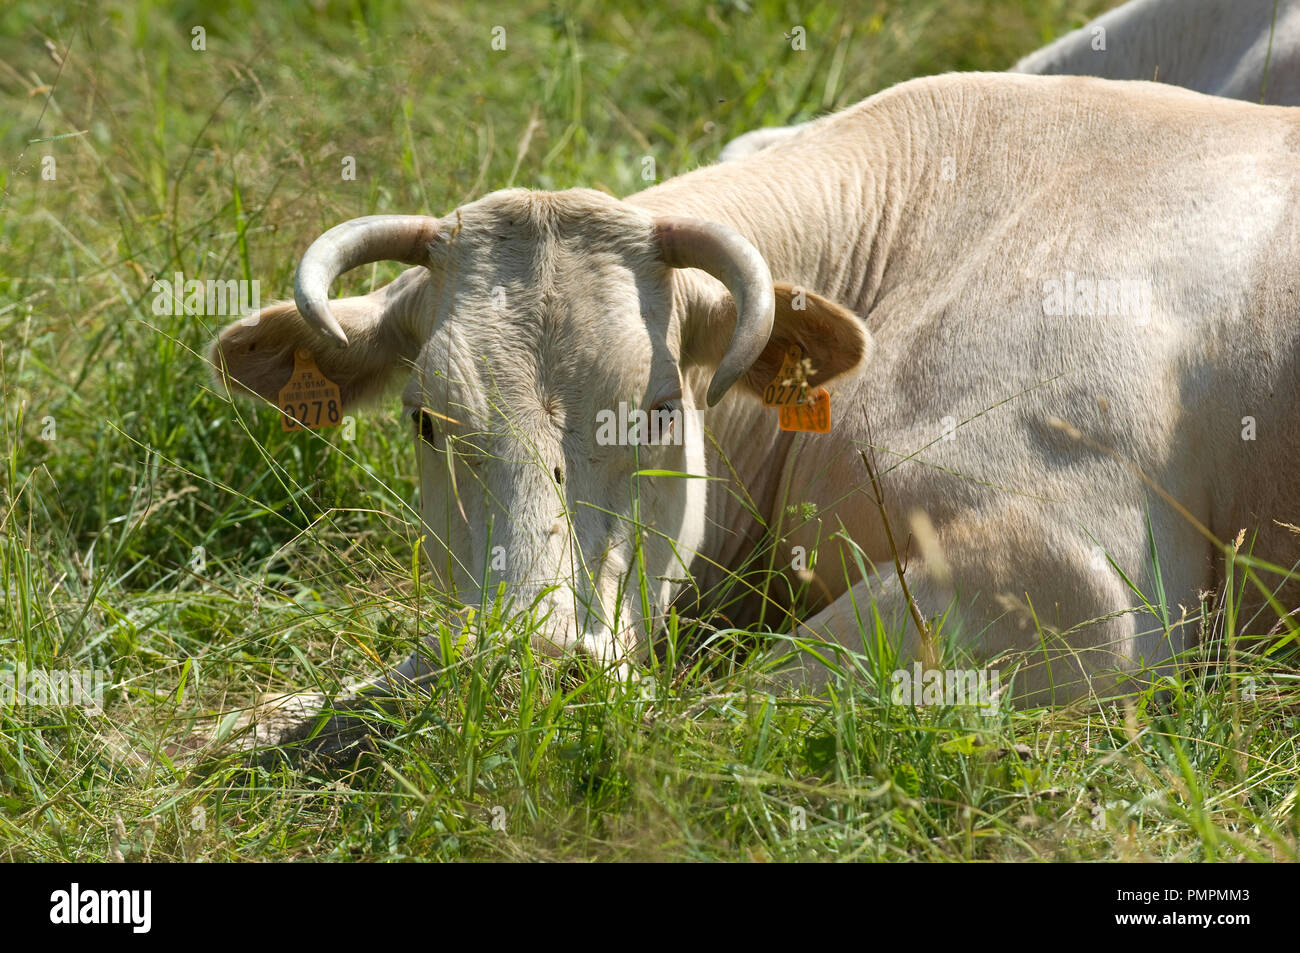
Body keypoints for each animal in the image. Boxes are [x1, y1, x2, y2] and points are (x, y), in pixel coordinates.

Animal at [208, 70, 1294, 748]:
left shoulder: (1081, 577)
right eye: (429, 421)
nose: (536, 659)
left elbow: (718, 707)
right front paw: (250, 726)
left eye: (655, 411)